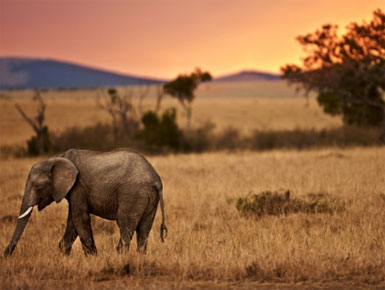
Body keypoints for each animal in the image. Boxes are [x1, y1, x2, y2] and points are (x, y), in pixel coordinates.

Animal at [3, 150, 166, 256]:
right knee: (144, 228)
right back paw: (140, 257)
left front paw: (92, 257)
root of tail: (156, 180)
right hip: (148, 198)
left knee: (125, 224)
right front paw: (62, 255)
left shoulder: (78, 187)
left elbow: (79, 218)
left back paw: (119, 256)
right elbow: (72, 221)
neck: (56, 159)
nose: (5, 254)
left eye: (37, 187)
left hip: (133, 194)